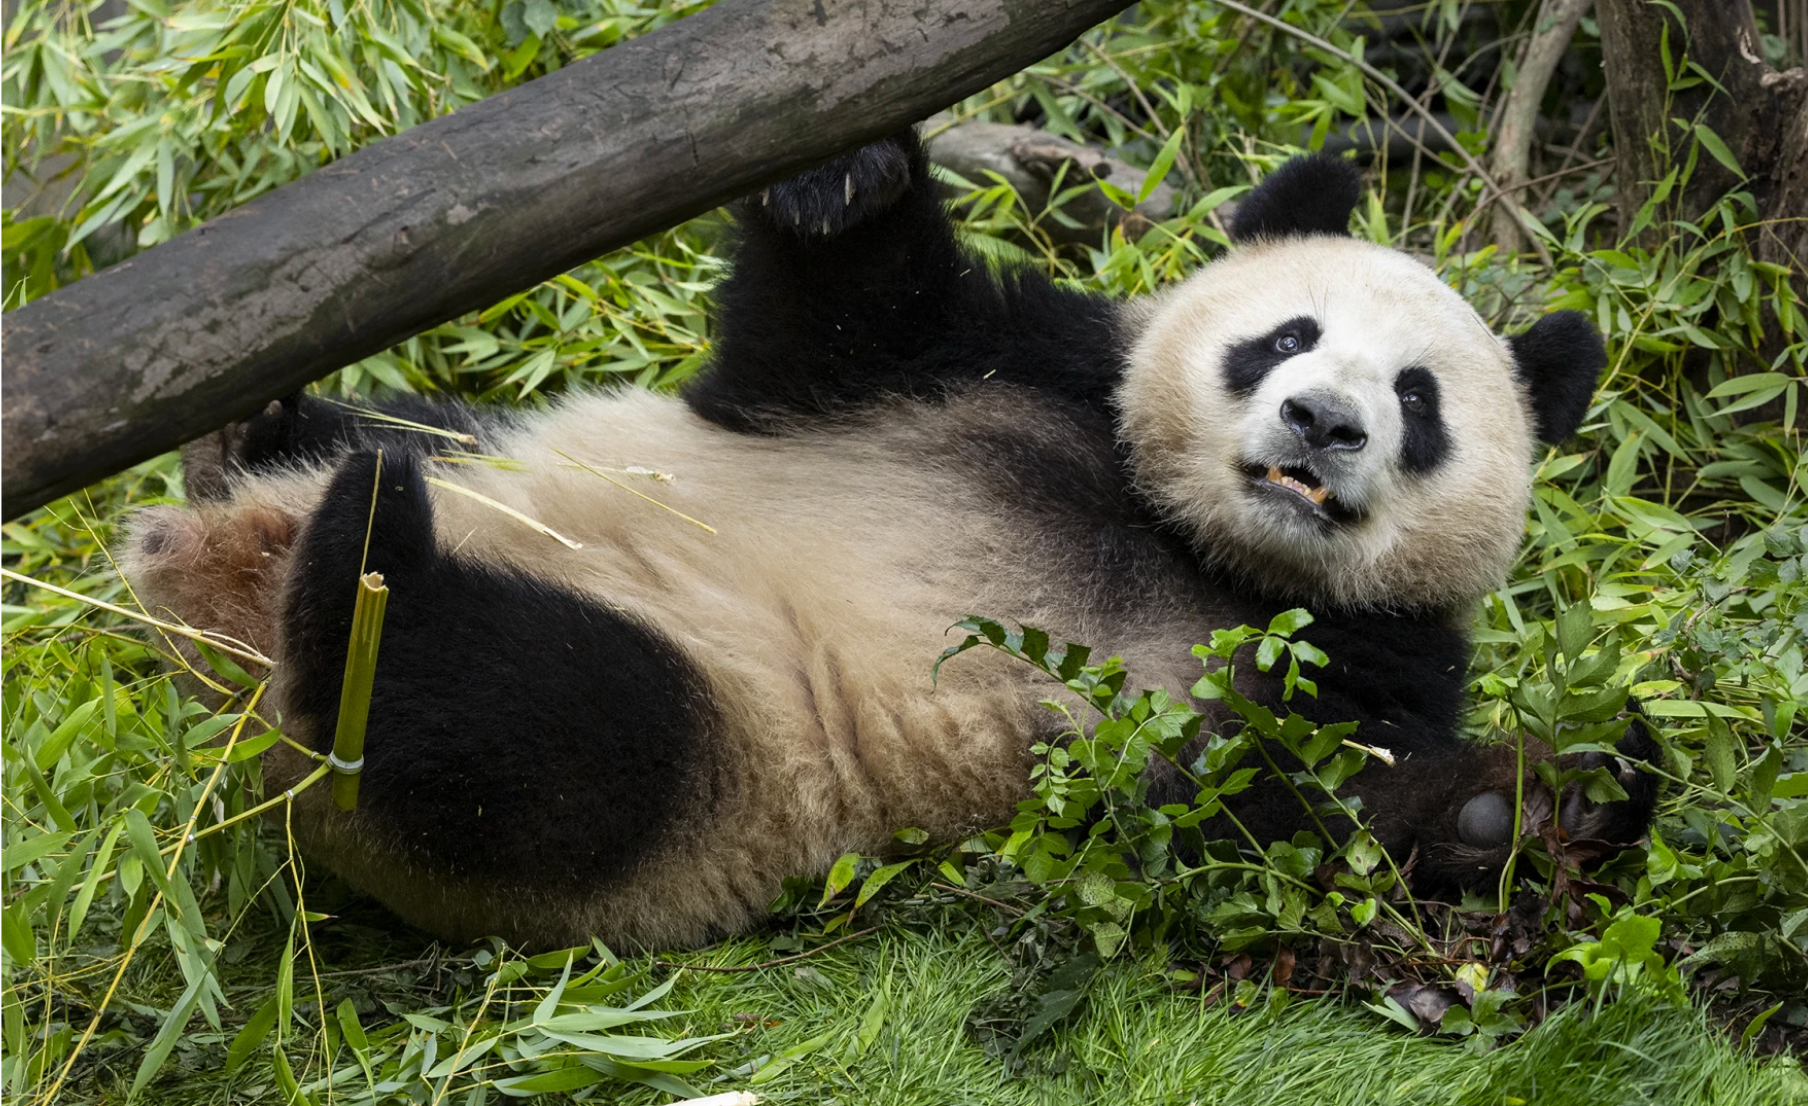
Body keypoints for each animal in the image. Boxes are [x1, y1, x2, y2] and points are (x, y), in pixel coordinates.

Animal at [123, 130, 1658, 951]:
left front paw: (1531, 805)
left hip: (714, 763)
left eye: (1419, 401)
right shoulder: (1011, 365)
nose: (1324, 419)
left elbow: (1259, 818)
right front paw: (846, 176)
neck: (1190, 541)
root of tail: (213, 604)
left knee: (526, 729)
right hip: (489, 452)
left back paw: (359, 577)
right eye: (1285, 336)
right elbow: (827, 331)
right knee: (401, 451)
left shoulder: (1356, 656)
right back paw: (260, 439)